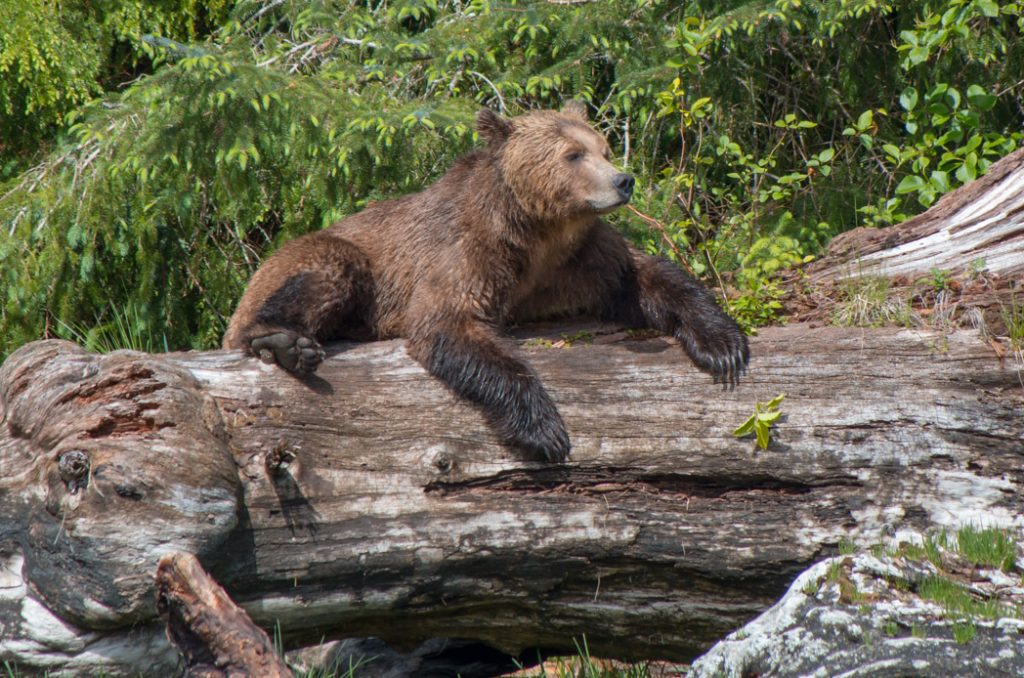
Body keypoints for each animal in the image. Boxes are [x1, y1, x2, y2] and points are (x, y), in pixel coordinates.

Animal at [223, 102, 749, 462]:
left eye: (602, 147)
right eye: (573, 154)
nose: (623, 180)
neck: (537, 231)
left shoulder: (580, 260)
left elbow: (647, 276)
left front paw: (723, 346)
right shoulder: (468, 255)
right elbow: (453, 324)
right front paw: (544, 430)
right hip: (311, 261)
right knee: (330, 268)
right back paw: (283, 342)